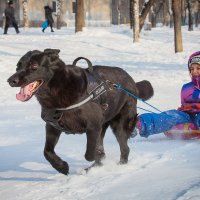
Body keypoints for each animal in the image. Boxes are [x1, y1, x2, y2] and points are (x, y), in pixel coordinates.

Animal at [7, 48, 153, 175]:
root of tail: (132, 82)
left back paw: (119, 166)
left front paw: (96, 158)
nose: (10, 80)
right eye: (17, 66)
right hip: (103, 126)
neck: (59, 87)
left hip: (119, 125)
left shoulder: (93, 126)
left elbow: (89, 154)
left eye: (34, 66)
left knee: (124, 148)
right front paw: (61, 167)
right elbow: (47, 152)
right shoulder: (52, 127)